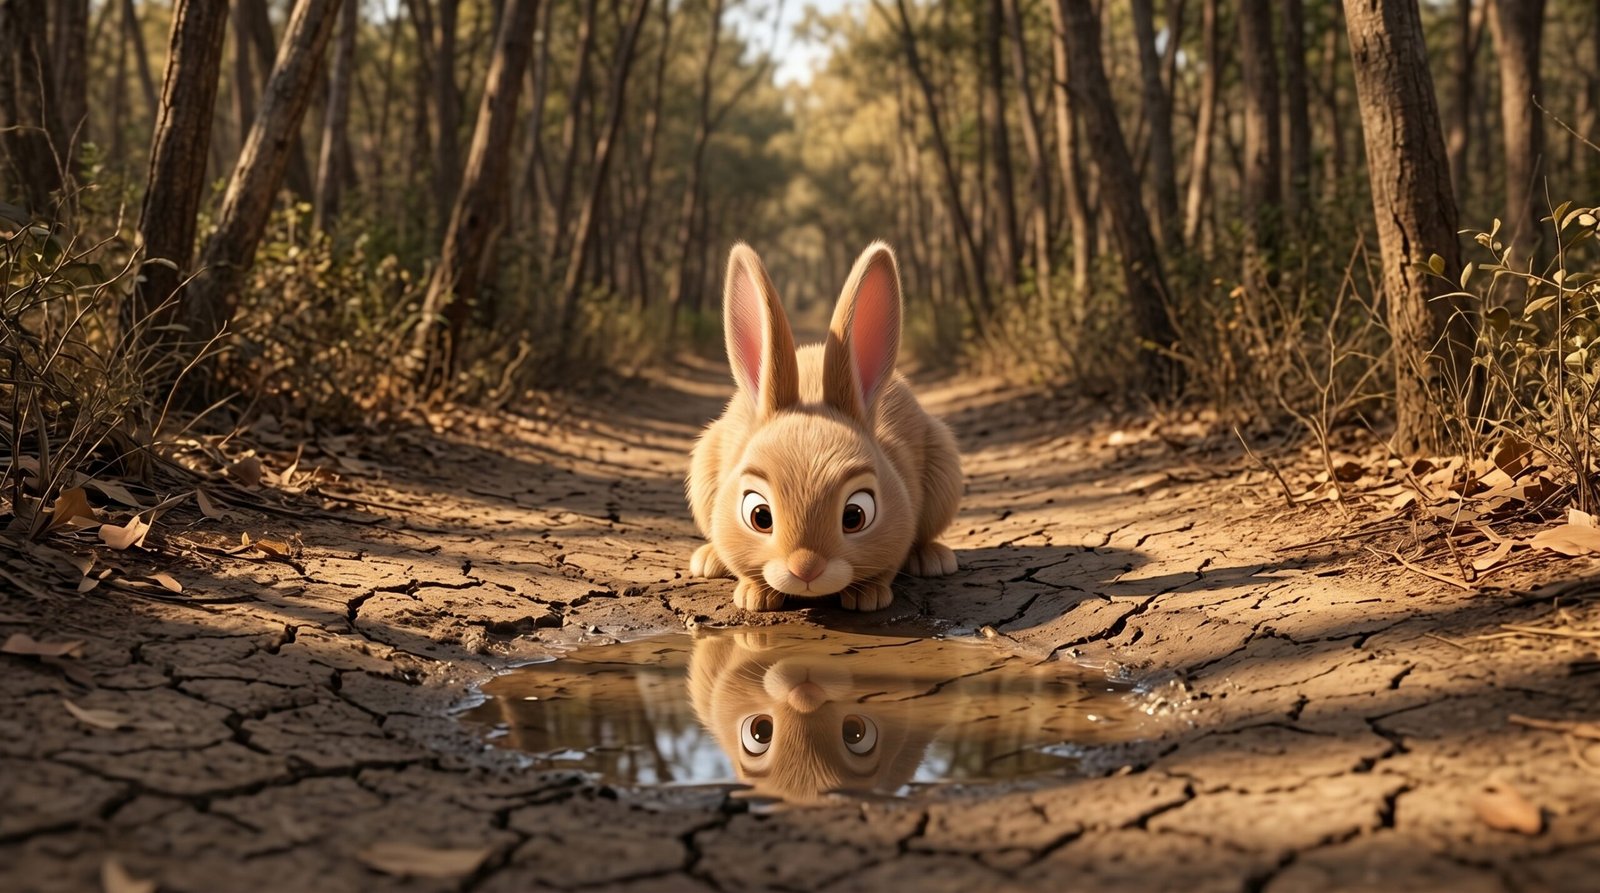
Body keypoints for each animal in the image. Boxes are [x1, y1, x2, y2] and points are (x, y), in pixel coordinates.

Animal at [685, 241, 962, 613]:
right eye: (759, 516)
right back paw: (708, 559)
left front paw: (867, 597)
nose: (806, 568)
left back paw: (933, 559)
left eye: (855, 516)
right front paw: (755, 596)